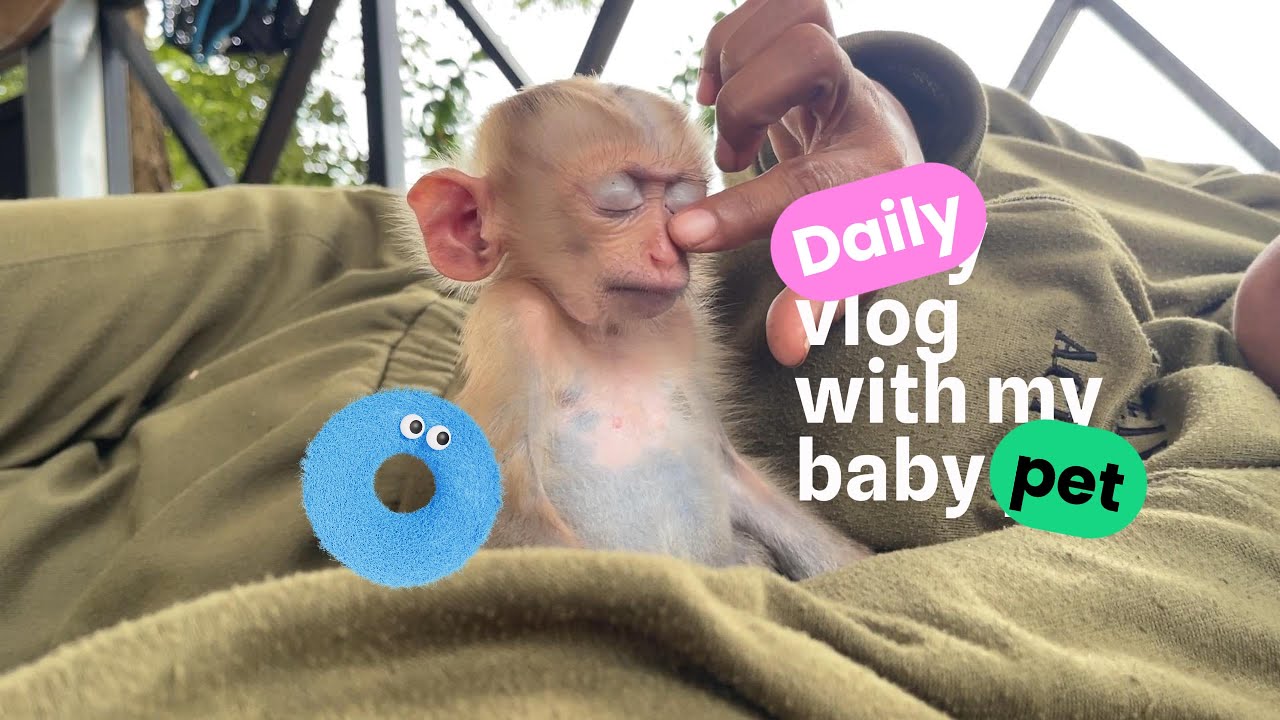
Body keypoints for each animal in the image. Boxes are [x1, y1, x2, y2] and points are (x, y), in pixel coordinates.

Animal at [401, 76, 872, 581]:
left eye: (680, 204)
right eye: (616, 201)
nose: (666, 254)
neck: (608, 334)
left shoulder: (681, 329)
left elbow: (728, 467)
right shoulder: (511, 319)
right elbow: (493, 504)